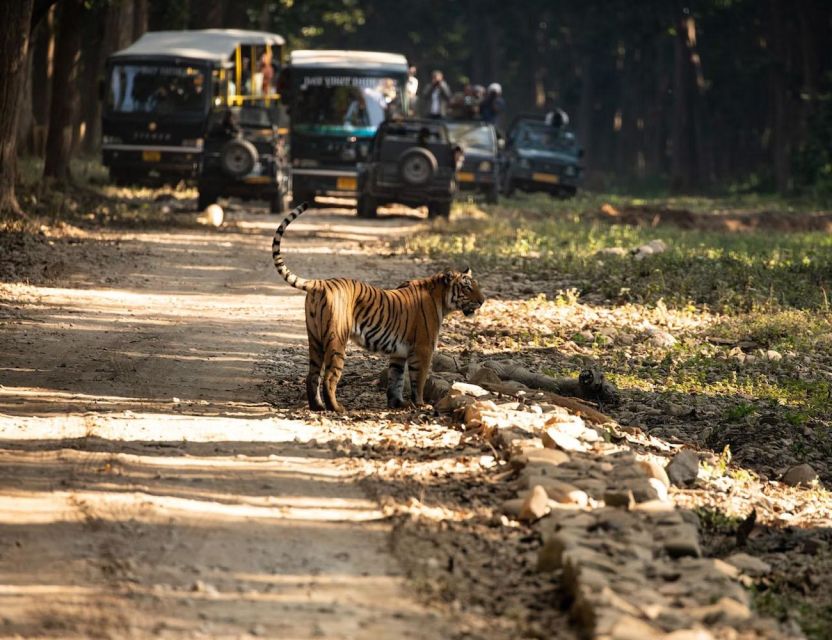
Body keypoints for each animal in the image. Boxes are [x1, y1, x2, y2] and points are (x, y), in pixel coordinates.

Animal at [272, 205, 484, 416]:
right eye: (467, 288)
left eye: (476, 285)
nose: (482, 301)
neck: (441, 299)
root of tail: (320, 283)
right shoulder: (423, 349)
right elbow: (419, 380)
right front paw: (421, 404)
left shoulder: (399, 352)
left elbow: (396, 379)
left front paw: (398, 403)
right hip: (336, 339)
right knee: (329, 377)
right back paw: (337, 408)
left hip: (314, 338)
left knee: (312, 375)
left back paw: (317, 406)